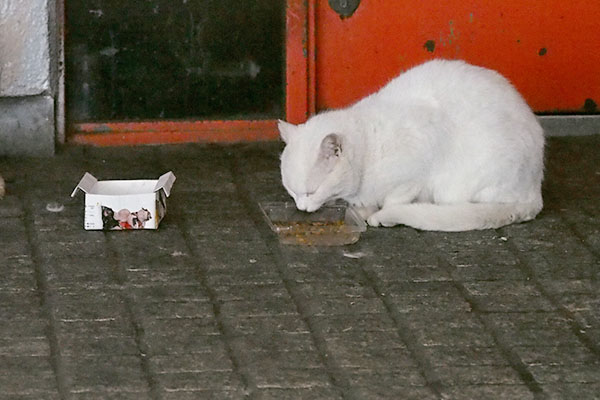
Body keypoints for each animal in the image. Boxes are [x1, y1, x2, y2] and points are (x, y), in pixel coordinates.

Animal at [278, 59, 548, 231]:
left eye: (311, 191)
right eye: (292, 191)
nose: (301, 207)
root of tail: (535, 191)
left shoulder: (417, 162)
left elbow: (395, 199)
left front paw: (379, 215)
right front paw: (363, 211)